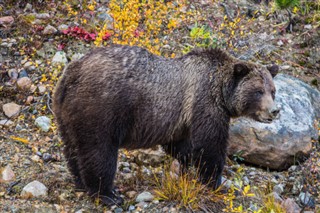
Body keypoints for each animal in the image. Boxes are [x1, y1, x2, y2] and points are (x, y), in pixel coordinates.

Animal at [53, 44, 280, 206]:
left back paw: (80, 182)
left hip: (65, 114)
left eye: (273, 90)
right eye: (258, 91)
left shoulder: (182, 121)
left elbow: (181, 146)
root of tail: (72, 74)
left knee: (73, 147)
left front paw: (188, 167)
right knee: (99, 151)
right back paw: (108, 194)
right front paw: (216, 182)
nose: (274, 111)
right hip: (102, 109)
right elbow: (210, 145)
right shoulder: (204, 102)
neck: (222, 93)